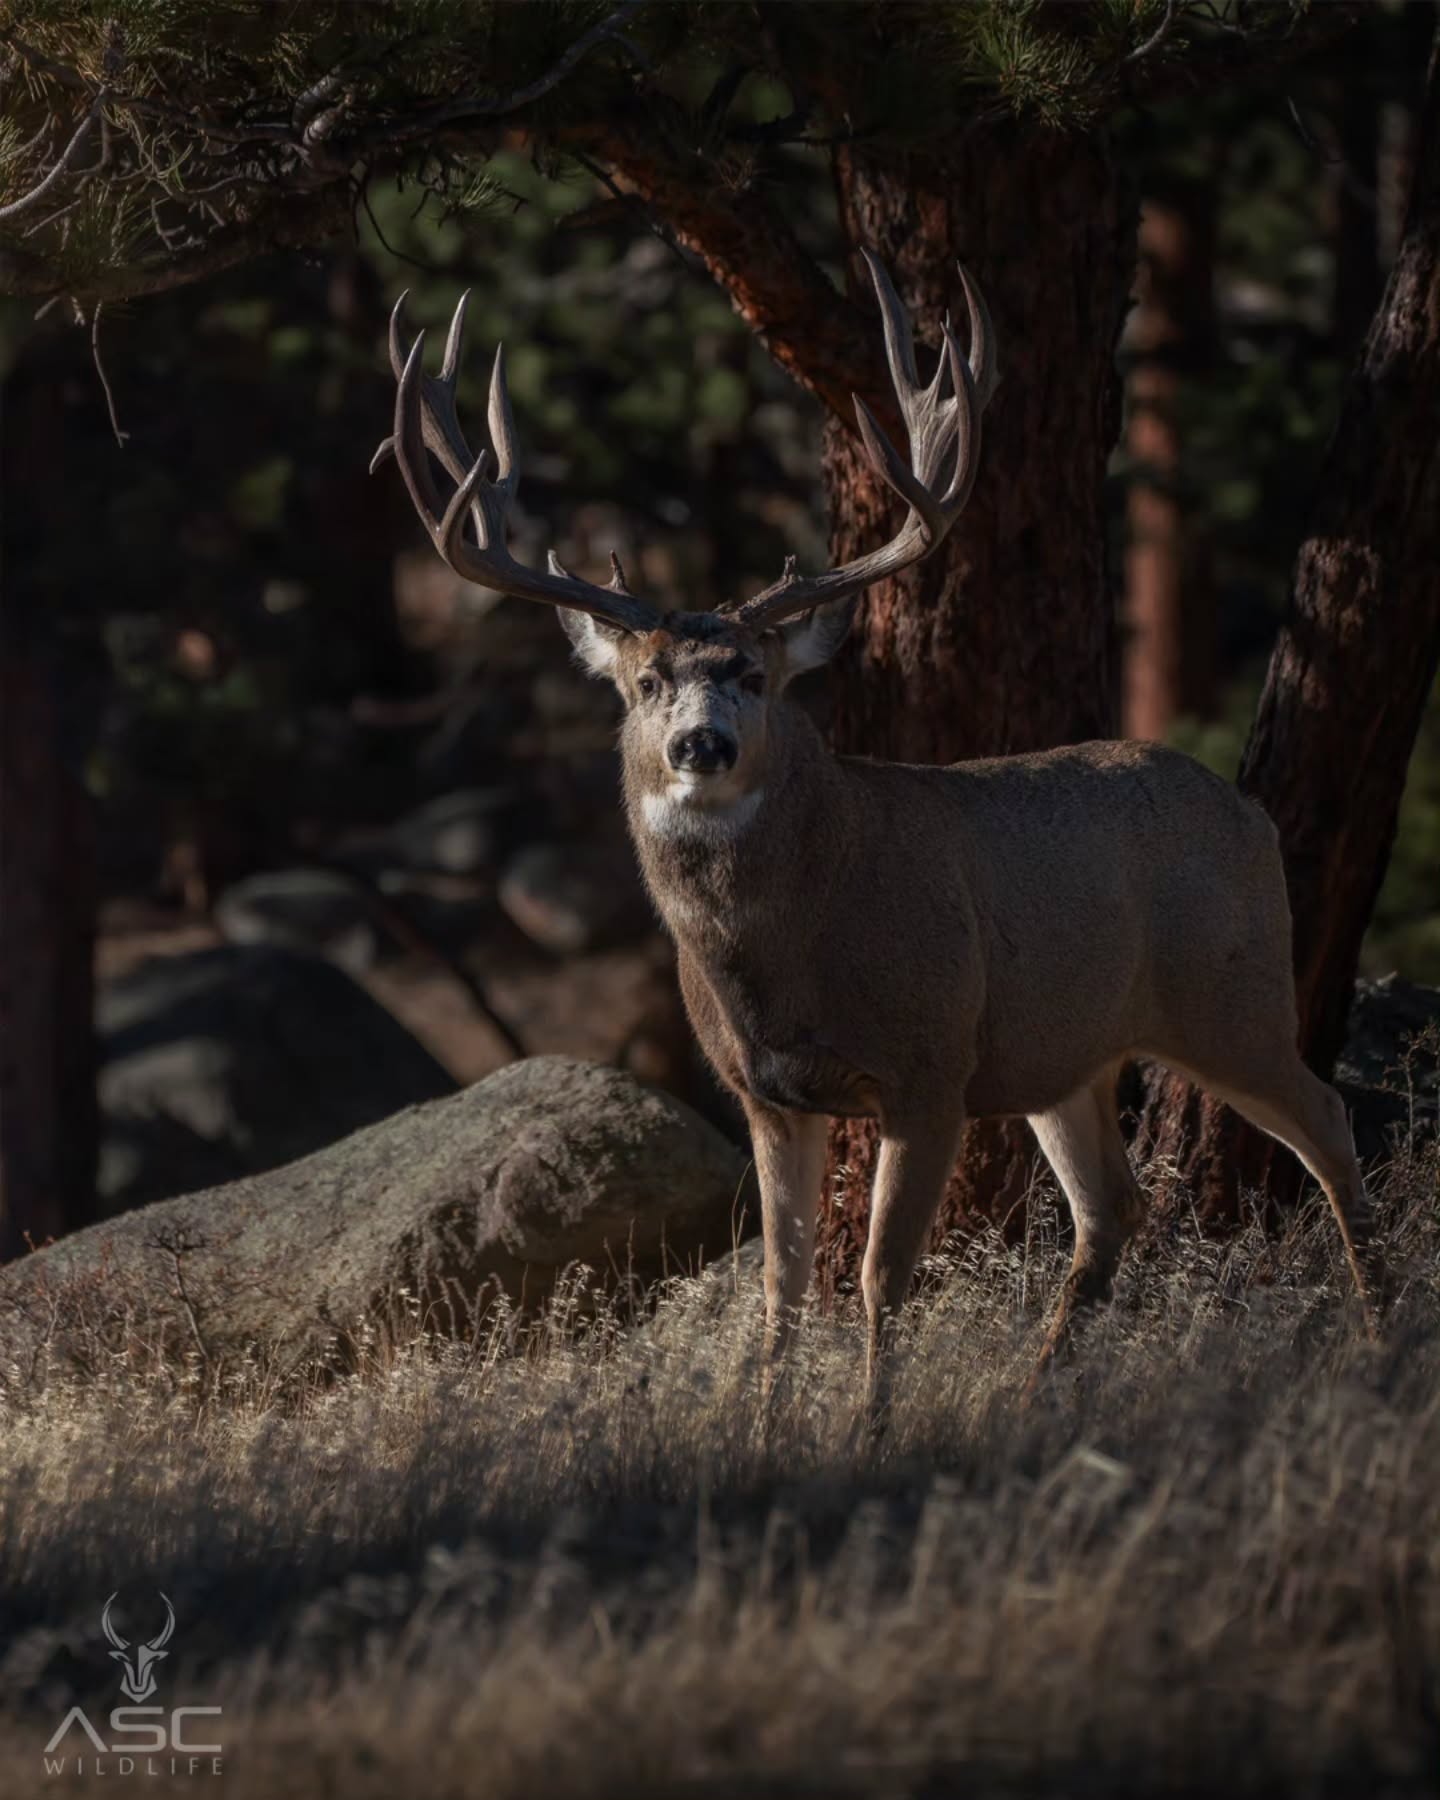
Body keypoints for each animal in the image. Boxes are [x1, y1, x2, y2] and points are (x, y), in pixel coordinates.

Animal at [373, 253, 1376, 1418]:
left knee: (1326, 1121)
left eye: (756, 675)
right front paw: (765, 1430)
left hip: (1230, 993)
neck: (792, 949)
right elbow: (781, 1283)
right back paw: (1034, 1390)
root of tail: (1250, 811)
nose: (702, 745)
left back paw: (1378, 1323)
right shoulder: (766, 1095)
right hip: (1065, 1050)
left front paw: (868, 1428)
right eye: (646, 680)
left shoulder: (929, 1066)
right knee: (1112, 1205)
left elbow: (878, 1274)